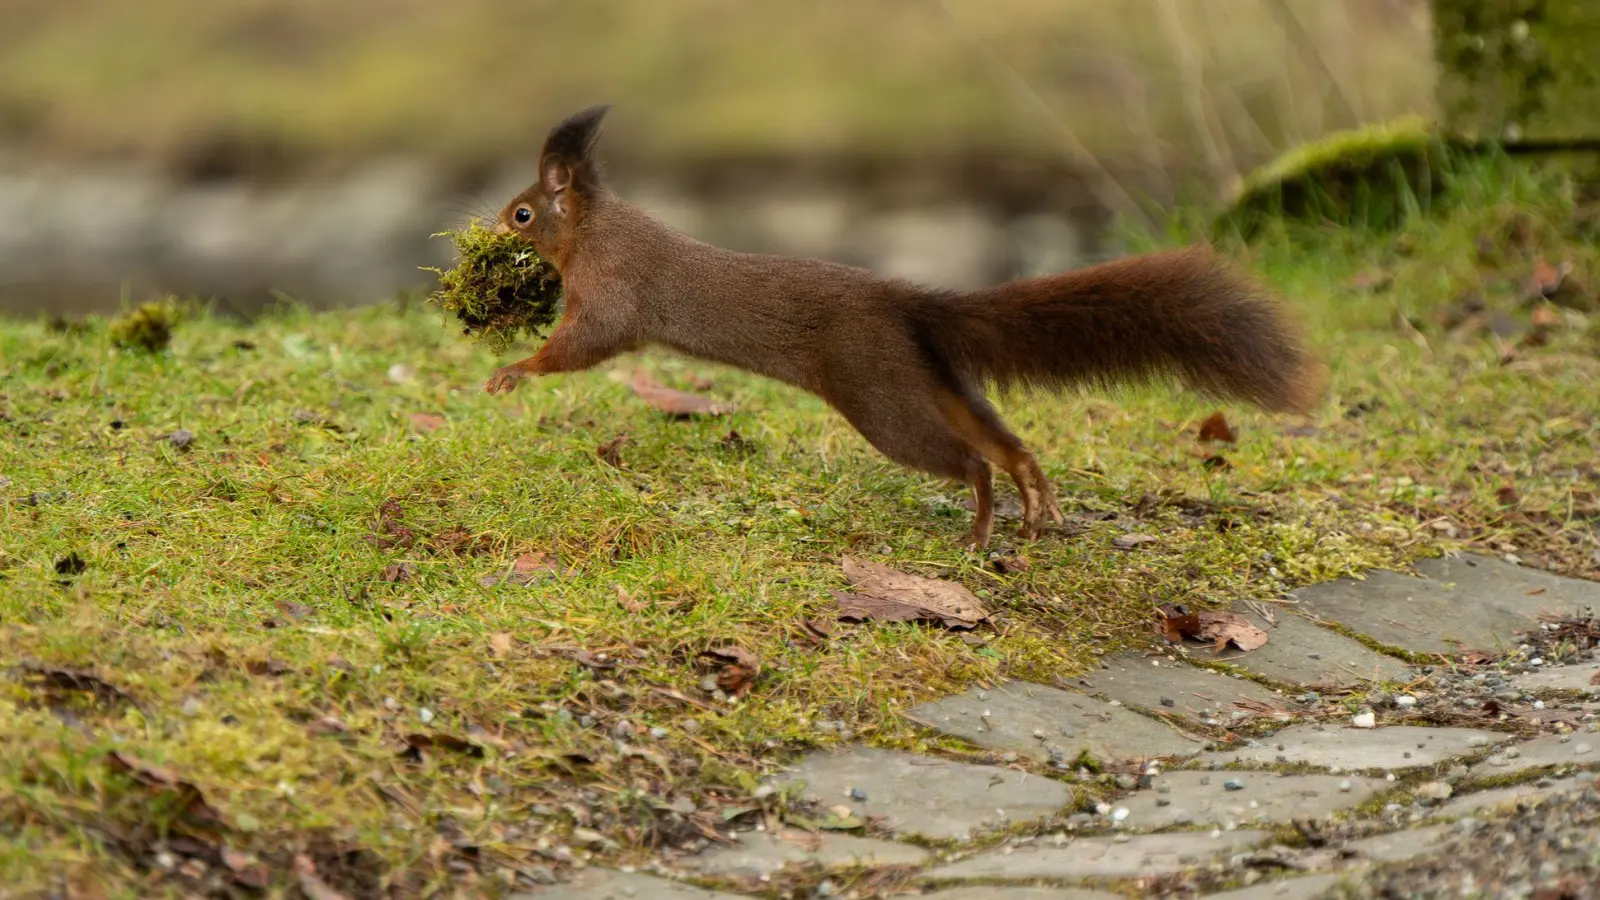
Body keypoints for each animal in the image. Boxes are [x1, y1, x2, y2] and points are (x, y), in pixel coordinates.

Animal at [483, 102, 1324, 544]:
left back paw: (982, 530)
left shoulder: (614, 294)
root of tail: (909, 303)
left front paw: (512, 371)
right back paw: (1036, 505)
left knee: (971, 460)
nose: (488, 231)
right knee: (1006, 442)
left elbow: (586, 346)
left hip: (879, 395)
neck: (596, 230)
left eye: (521, 212)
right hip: (930, 378)